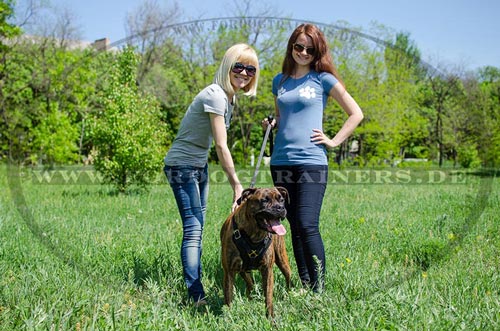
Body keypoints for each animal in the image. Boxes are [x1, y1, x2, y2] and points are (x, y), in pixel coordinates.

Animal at [220, 187, 292, 320]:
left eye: (282, 200)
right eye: (264, 200)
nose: (280, 208)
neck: (255, 234)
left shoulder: (267, 270)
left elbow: (268, 297)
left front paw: (270, 318)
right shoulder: (229, 272)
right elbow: (228, 298)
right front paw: (229, 317)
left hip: (282, 260)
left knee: (288, 276)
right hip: (243, 270)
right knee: (250, 284)